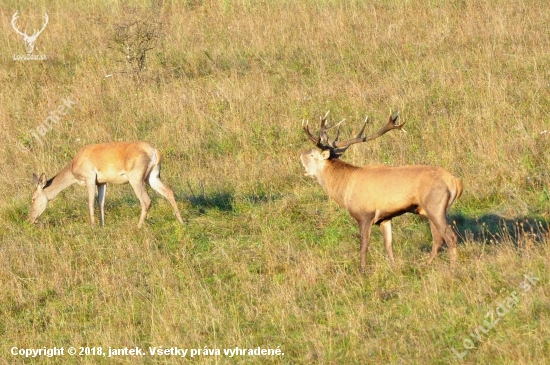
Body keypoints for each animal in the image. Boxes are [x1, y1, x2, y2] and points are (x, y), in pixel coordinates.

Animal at [30, 141, 185, 225]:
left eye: (33, 198)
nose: (31, 219)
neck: (74, 165)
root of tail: (155, 152)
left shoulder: (90, 178)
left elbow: (90, 202)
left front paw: (92, 226)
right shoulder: (102, 183)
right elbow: (101, 203)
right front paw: (102, 225)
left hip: (136, 179)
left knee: (146, 200)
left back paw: (138, 226)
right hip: (152, 177)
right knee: (169, 192)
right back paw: (181, 221)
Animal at [304, 112, 464, 272]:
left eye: (312, 155)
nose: (301, 155)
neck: (344, 189)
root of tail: (455, 181)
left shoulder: (365, 214)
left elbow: (364, 246)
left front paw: (362, 271)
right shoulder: (385, 218)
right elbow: (388, 245)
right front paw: (393, 268)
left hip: (435, 205)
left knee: (450, 238)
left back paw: (452, 269)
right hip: (432, 210)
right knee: (438, 239)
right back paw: (426, 265)